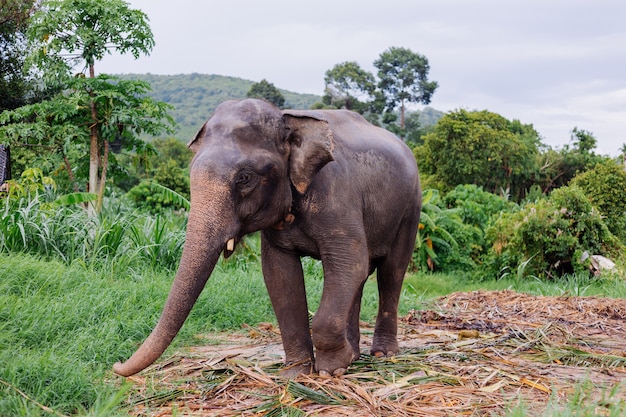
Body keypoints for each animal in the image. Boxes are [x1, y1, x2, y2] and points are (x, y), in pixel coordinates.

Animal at [114, 97, 422, 376]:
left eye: (245, 178)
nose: (116, 366)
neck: (287, 118)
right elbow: (280, 275)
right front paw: (296, 375)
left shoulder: (337, 195)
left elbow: (349, 262)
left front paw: (330, 371)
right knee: (359, 280)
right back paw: (355, 356)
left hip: (411, 208)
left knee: (390, 273)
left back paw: (383, 354)